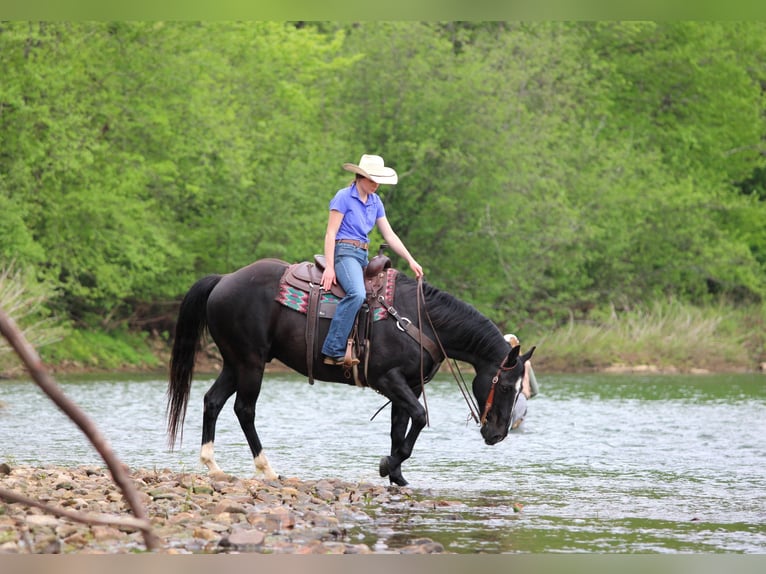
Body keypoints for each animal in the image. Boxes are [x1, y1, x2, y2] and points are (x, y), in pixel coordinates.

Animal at [166, 257, 535, 486]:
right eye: (505, 386)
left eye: (521, 390)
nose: (497, 435)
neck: (418, 319)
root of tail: (224, 280)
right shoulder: (388, 379)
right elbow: (419, 418)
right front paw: (388, 465)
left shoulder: (409, 385)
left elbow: (400, 428)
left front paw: (397, 475)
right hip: (251, 363)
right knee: (244, 409)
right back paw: (267, 469)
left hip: (234, 362)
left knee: (212, 401)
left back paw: (213, 466)